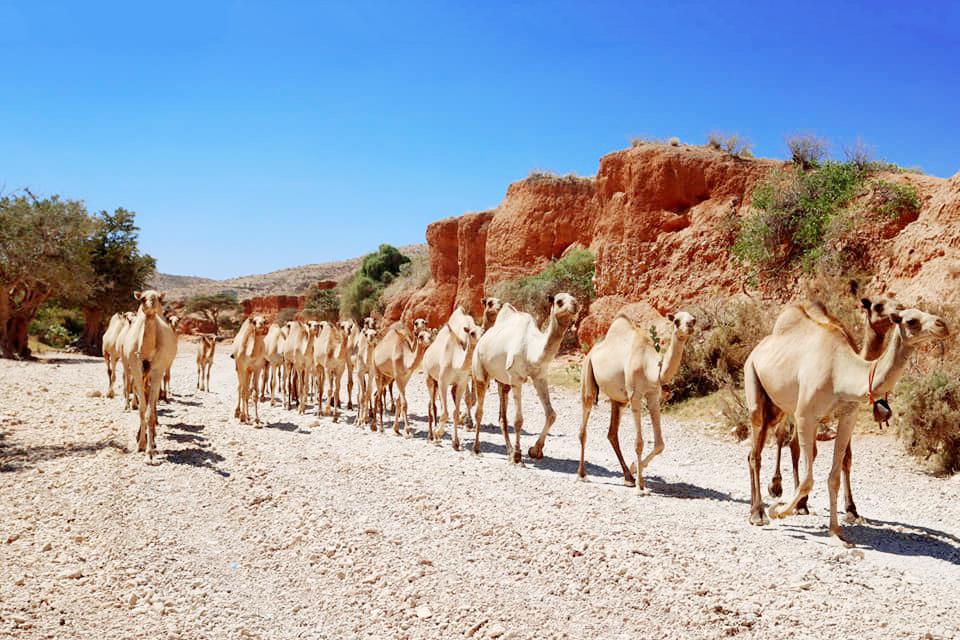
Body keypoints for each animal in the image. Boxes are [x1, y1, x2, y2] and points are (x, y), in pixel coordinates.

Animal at [120, 290, 178, 460]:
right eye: (142, 298)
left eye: (158, 298)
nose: (151, 304)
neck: (146, 351)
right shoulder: (137, 371)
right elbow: (141, 409)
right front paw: (140, 445)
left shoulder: (157, 371)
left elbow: (149, 411)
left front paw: (150, 451)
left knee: (152, 404)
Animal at [422, 307, 483, 449]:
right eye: (472, 333)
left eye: (483, 332)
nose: (481, 340)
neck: (456, 364)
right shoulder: (443, 381)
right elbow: (445, 413)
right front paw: (438, 432)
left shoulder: (461, 383)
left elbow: (455, 412)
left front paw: (456, 442)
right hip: (429, 377)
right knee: (432, 405)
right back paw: (431, 436)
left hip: (437, 382)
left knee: (433, 404)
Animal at [471, 293, 580, 462]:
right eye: (559, 301)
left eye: (573, 298)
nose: (575, 305)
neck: (531, 350)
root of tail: (482, 338)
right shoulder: (516, 378)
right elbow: (518, 420)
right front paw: (517, 455)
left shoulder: (540, 376)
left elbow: (551, 414)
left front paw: (535, 450)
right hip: (480, 371)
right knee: (479, 411)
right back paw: (476, 449)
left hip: (502, 380)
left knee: (502, 416)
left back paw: (508, 450)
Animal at [577, 310, 697, 492]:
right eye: (676, 321)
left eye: (693, 320)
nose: (689, 327)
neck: (650, 369)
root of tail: (592, 351)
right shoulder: (635, 395)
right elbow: (639, 443)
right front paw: (641, 486)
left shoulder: (653, 395)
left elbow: (660, 444)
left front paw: (635, 468)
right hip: (587, 375)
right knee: (584, 425)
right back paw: (582, 475)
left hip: (618, 399)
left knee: (612, 433)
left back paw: (628, 477)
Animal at [745, 300, 948, 545]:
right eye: (911, 320)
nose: (943, 324)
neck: (841, 373)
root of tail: (758, 348)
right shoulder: (805, 415)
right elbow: (807, 479)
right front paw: (778, 510)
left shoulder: (847, 417)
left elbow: (834, 476)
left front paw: (836, 533)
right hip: (753, 382)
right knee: (756, 453)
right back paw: (759, 514)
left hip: (778, 406)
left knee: (758, 448)